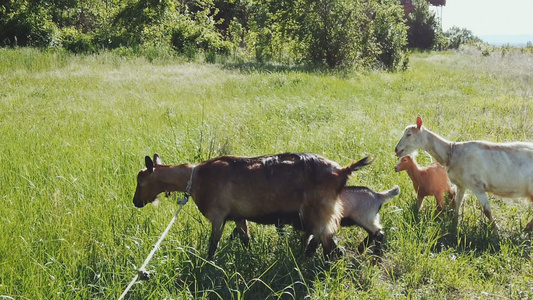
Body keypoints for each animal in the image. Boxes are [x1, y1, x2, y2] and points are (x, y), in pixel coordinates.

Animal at [132, 152, 372, 258]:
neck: (196, 177)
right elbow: (246, 240)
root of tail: (341, 172)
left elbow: (212, 246)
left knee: (329, 244)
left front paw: (207, 265)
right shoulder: (239, 217)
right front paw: (251, 257)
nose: (135, 202)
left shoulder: (218, 217)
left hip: (320, 211)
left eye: (140, 180)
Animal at [392, 116, 532, 231]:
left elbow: (487, 211)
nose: (396, 149)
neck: (451, 152)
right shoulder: (461, 184)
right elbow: (457, 204)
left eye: (409, 134)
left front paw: (497, 231)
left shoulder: (477, 185)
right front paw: (455, 224)